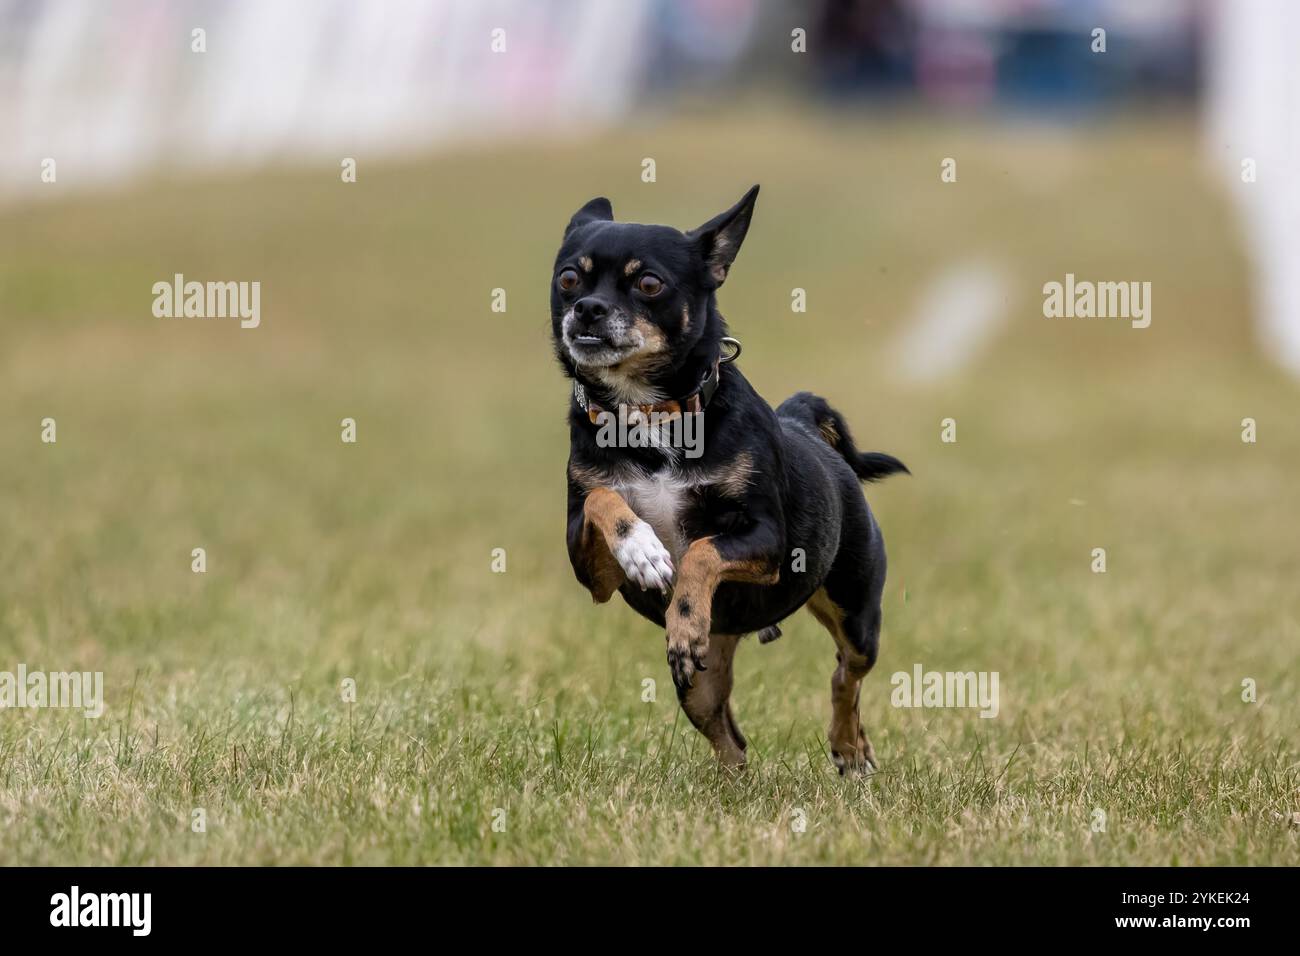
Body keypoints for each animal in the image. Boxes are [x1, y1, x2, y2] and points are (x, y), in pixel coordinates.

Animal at [553, 184, 909, 770]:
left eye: (648, 283)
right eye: (567, 279)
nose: (587, 308)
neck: (651, 414)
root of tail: (799, 417)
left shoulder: (766, 539)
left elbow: (701, 550)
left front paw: (671, 580)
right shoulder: (594, 575)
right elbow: (605, 497)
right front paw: (643, 551)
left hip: (857, 615)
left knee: (845, 676)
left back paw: (848, 748)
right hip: (699, 681)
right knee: (731, 740)